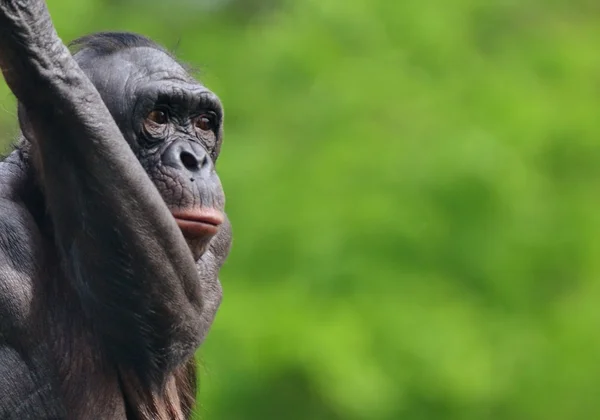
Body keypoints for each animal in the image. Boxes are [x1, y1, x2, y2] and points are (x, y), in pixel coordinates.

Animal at [0, 1, 232, 418]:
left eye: (204, 123)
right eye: (158, 117)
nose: (194, 158)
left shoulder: (219, 238)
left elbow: (170, 326)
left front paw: (32, 40)